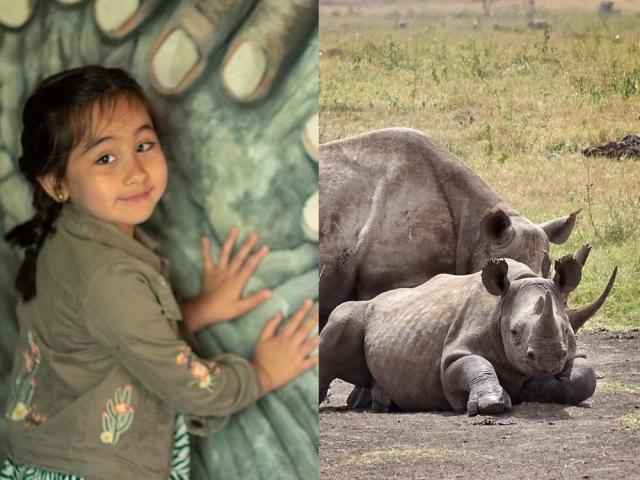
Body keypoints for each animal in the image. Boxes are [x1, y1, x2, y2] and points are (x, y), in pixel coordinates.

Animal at [319, 257, 617, 414]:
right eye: (514, 332)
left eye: (566, 330)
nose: (547, 360)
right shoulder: (453, 354)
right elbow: (474, 364)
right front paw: (492, 404)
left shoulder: (572, 351)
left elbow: (584, 376)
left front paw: (534, 387)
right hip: (360, 311)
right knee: (339, 322)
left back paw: (375, 403)